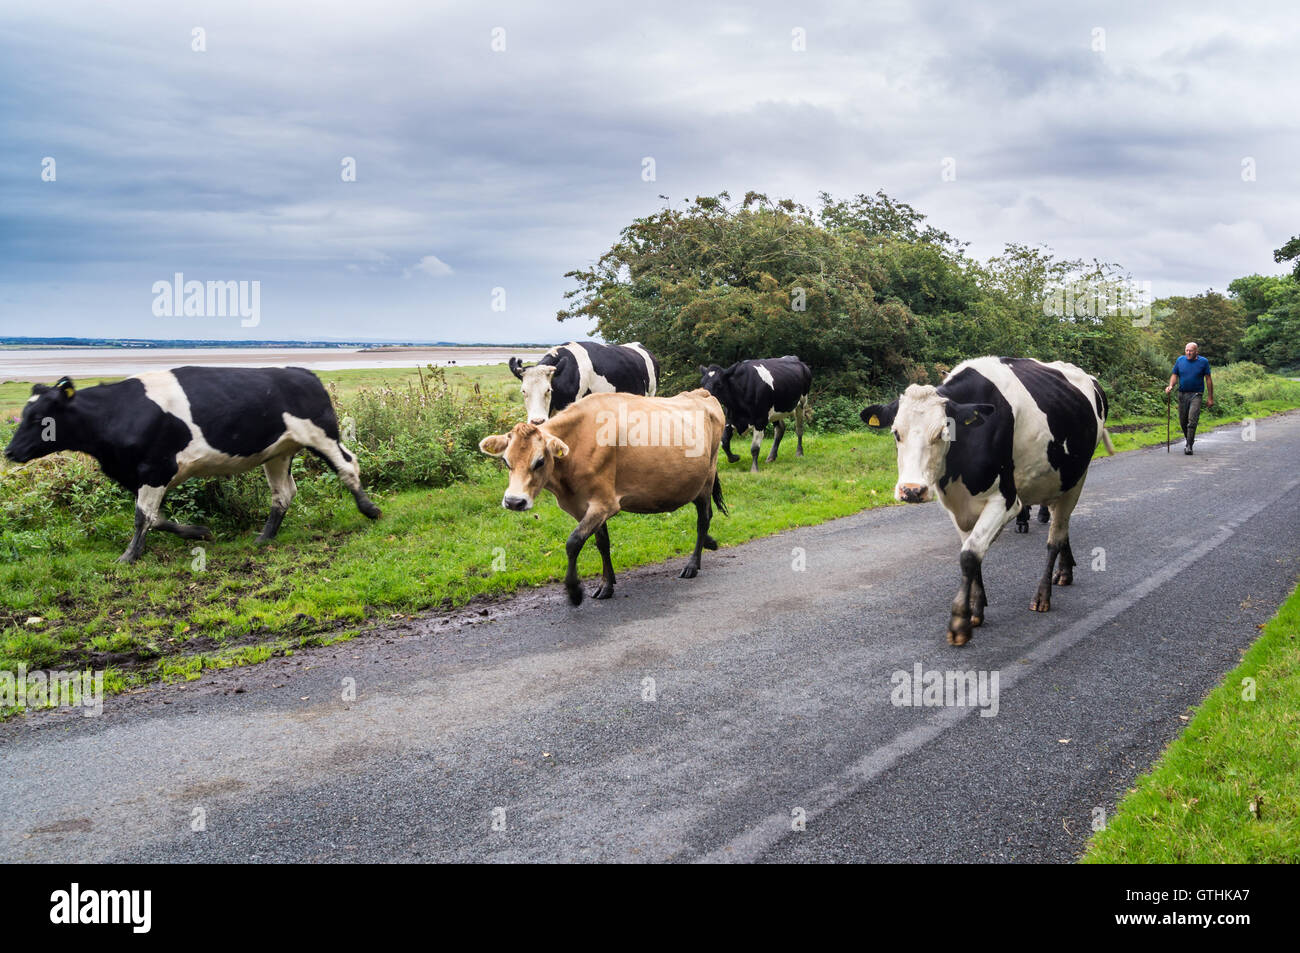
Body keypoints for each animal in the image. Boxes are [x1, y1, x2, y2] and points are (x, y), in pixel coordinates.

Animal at [3, 366, 379, 561]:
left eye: (40, 418)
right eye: (25, 415)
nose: (9, 451)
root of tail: (302, 372)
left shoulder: (156, 468)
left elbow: (143, 518)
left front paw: (129, 556)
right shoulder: (142, 474)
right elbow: (155, 518)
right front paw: (199, 531)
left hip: (321, 433)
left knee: (348, 465)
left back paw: (370, 509)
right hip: (279, 451)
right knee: (283, 493)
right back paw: (264, 538)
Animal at [478, 387, 728, 603]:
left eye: (539, 461)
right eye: (506, 461)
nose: (514, 501)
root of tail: (701, 392)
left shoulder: (605, 504)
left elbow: (573, 542)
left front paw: (574, 591)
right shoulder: (584, 507)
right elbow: (602, 543)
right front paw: (607, 583)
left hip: (706, 480)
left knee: (703, 519)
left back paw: (692, 564)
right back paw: (709, 543)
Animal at [863, 356, 1107, 647]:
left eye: (942, 432)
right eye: (896, 433)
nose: (911, 490)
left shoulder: (1007, 501)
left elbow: (969, 554)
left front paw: (959, 621)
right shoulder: (956, 505)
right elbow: (972, 551)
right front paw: (976, 610)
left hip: (1077, 478)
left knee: (1055, 538)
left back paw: (1042, 596)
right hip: (1057, 480)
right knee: (1061, 526)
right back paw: (1065, 571)